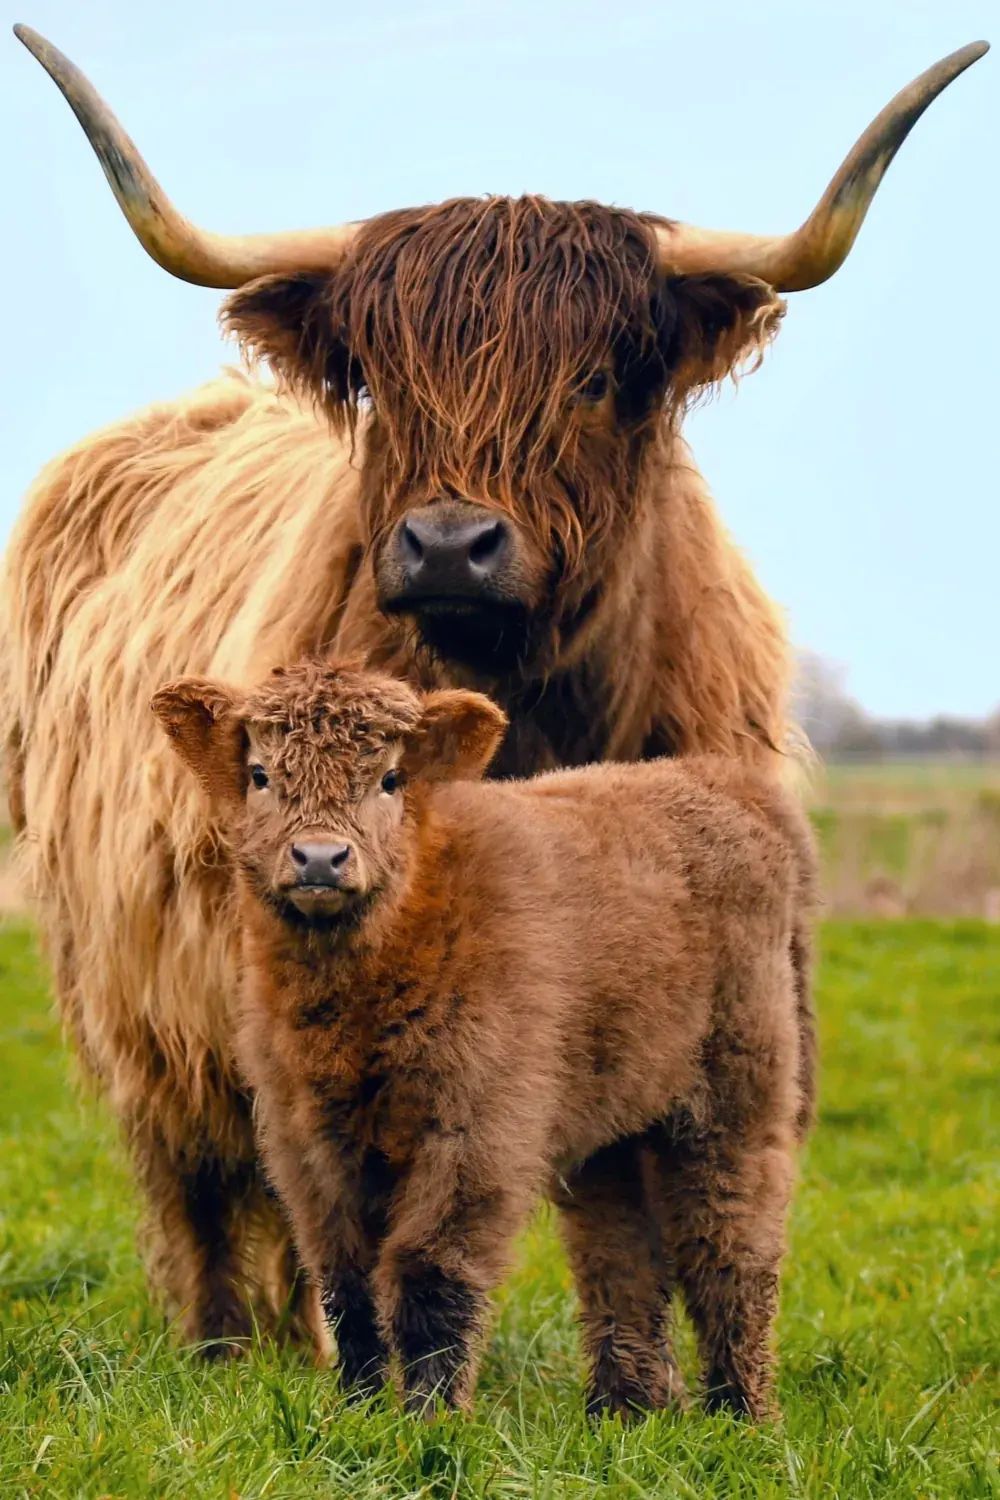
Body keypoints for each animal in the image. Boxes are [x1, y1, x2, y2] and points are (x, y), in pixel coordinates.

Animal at [152, 657, 819, 1420]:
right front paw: (357, 1408)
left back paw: (740, 1412)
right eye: (260, 774)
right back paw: (622, 1410)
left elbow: (429, 1273)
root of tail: (716, 781)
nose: (320, 858)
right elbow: (347, 1281)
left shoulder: (475, 1128)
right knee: (619, 1253)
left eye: (391, 778)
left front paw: (428, 1417)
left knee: (730, 1245)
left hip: (737, 1094)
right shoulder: (307, 1138)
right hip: (614, 1116)